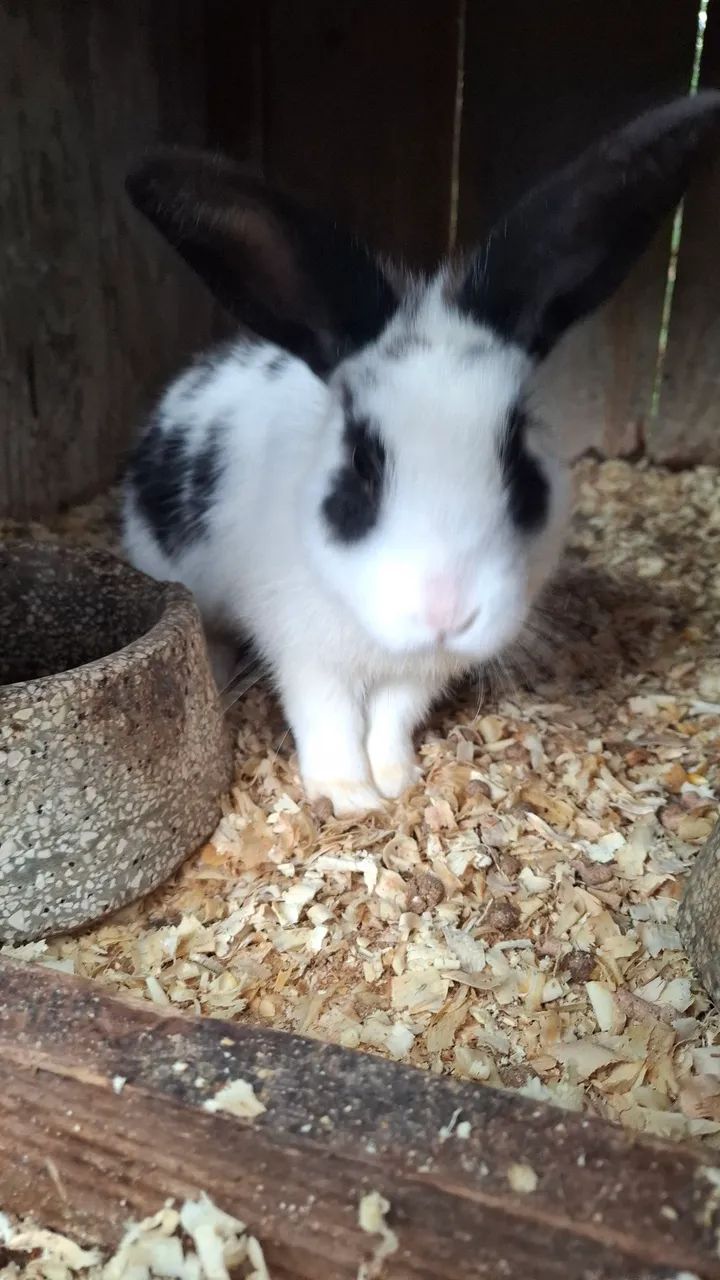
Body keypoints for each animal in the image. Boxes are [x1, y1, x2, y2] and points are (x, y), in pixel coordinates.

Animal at [122, 92, 720, 817]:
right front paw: (348, 795)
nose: (446, 613)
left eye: (519, 457)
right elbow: (327, 717)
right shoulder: (303, 651)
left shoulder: (425, 671)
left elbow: (391, 717)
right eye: (361, 461)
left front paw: (395, 778)